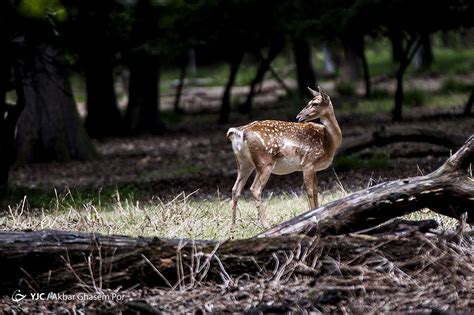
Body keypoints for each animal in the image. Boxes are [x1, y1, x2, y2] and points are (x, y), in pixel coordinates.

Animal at [226, 86, 340, 225]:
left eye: (315, 103)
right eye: (310, 102)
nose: (299, 116)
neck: (328, 142)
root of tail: (238, 132)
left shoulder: (314, 168)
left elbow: (316, 190)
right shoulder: (308, 162)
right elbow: (310, 191)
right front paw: (313, 214)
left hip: (243, 163)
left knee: (235, 189)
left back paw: (233, 225)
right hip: (264, 162)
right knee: (255, 189)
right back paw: (266, 224)